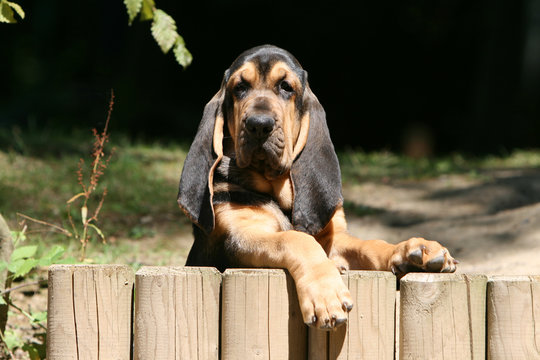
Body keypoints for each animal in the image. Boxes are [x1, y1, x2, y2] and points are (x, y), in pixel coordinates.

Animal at [179, 45, 458, 330]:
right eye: (240, 87)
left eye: (286, 87)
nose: (259, 124)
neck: (277, 191)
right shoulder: (242, 237)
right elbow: (296, 239)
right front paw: (326, 294)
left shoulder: (333, 239)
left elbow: (368, 244)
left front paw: (415, 250)